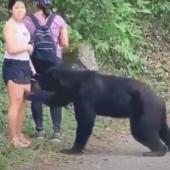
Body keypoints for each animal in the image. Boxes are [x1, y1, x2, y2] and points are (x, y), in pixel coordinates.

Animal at [25, 66, 170, 157]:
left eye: (44, 75)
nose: (34, 75)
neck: (74, 83)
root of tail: (161, 101)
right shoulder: (70, 94)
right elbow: (56, 99)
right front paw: (28, 94)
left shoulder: (85, 96)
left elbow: (86, 120)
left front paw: (71, 149)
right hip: (157, 115)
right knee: (164, 130)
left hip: (146, 111)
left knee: (142, 130)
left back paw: (155, 151)